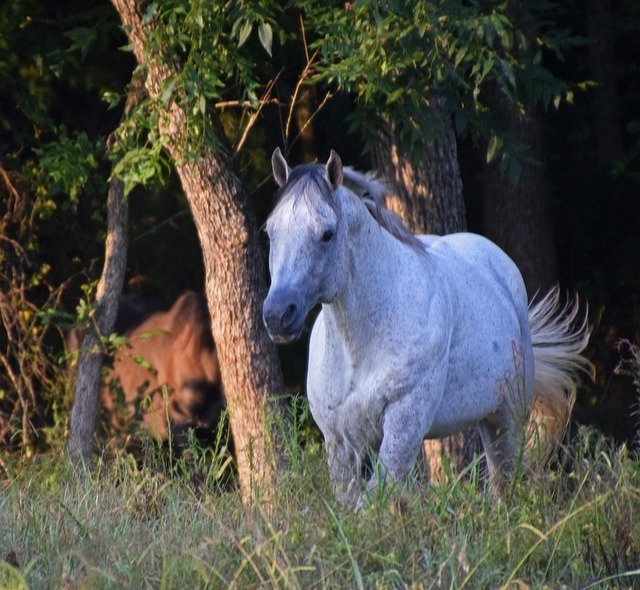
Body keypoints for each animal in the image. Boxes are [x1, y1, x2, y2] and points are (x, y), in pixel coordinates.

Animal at [262, 149, 592, 508]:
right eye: (270, 232)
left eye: (327, 233)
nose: (277, 314)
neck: (359, 351)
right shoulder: (339, 442)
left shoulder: (404, 419)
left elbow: (375, 500)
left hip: (506, 417)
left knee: (506, 483)